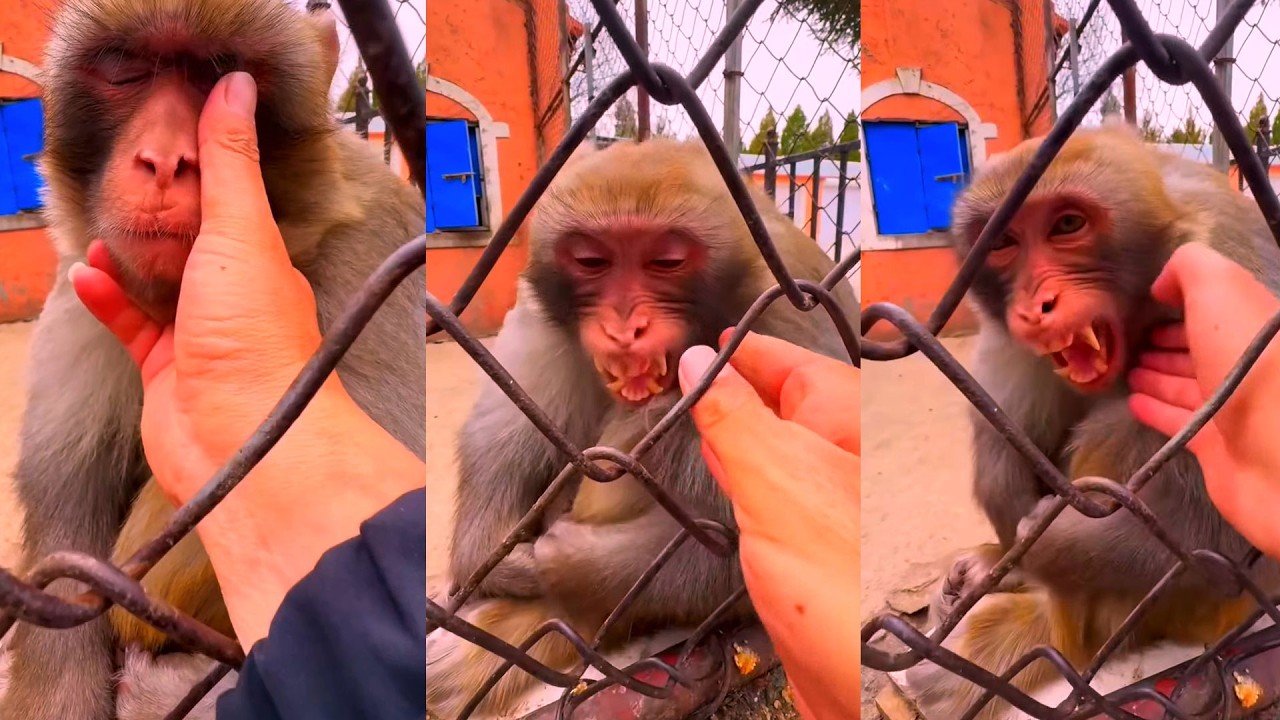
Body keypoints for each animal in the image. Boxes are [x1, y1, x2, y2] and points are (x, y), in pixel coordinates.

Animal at [425, 137, 860, 719]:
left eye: (666, 262)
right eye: (591, 261)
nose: (624, 326)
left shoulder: (791, 316)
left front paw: (564, 563)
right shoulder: (541, 313)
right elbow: (504, 428)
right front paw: (492, 558)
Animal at [896, 121, 1280, 720]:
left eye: (1068, 225)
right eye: (1004, 242)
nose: (1037, 306)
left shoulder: (1228, 271)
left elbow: (1221, 533)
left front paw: (1045, 541)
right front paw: (1011, 524)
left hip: (1203, 612)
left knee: (1122, 427)